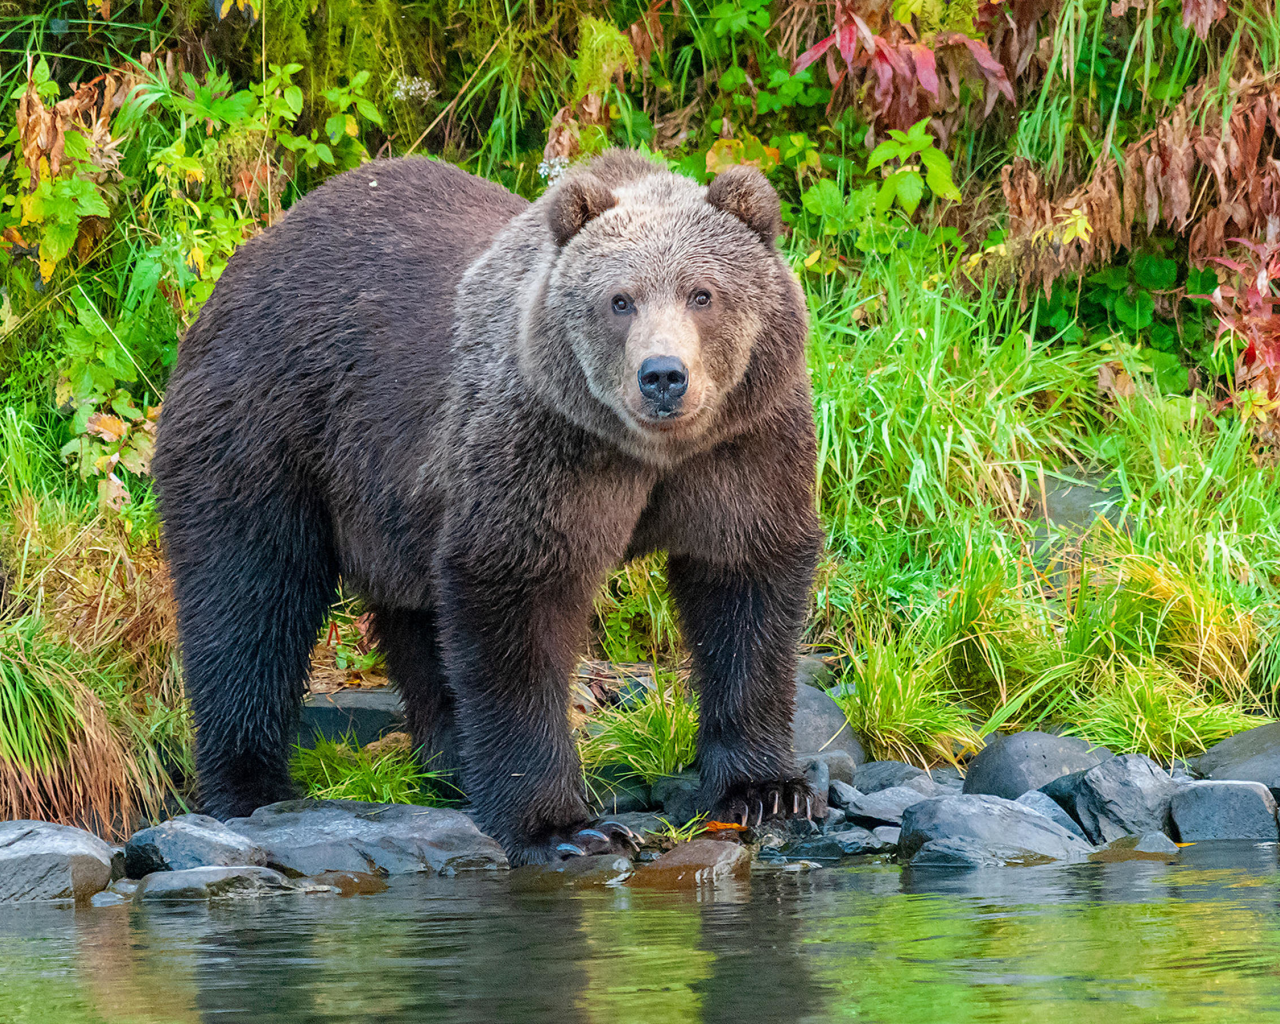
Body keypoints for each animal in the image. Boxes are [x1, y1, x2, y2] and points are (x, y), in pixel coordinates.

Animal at [152, 147, 819, 860]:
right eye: (619, 300)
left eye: (702, 294)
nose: (663, 375)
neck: (649, 452)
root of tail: (247, 261)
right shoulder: (544, 443)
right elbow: (514, 598)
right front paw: (563, 826)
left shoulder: (743, 443)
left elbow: (744, 586)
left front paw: (767, 790)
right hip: (266, 427)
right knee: (249, 596)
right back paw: (251, 786)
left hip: (396, 499)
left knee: (417, 623)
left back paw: (448, 762)